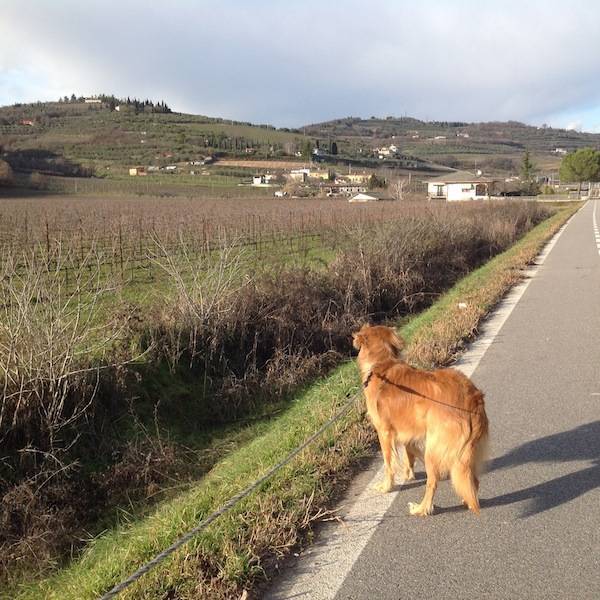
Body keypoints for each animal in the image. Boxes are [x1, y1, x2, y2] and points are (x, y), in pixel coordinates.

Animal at [352, 324, 488, 516]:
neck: (382, 363)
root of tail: (473, 401)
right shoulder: (407, 432)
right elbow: (410, 454)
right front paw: (409, 474)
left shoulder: (384, 433)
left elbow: (388, 463)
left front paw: (387, 486)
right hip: (465, 452)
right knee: (472, 480)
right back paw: (466, 499)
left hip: (434, 447)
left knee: (432, 482)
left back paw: (421, 508)